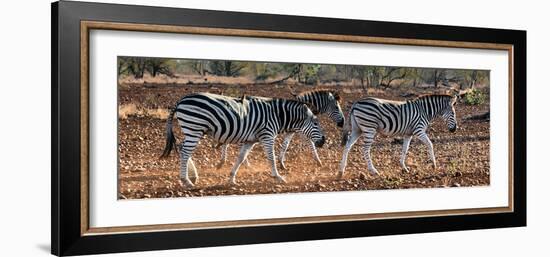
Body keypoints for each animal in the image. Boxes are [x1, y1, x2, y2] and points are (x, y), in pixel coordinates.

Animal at [160, 92, 326, 186]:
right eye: (316, 123)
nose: (324, 141)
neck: (277, 115)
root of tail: (181, 100)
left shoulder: (250, 140)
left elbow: (240, 157)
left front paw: (231, 179)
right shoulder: (267, 135)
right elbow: (271, 157)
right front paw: (278, 176)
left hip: (193, 130)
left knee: (182, 148)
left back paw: (192, 176)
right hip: (194, 128)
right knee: (185, 151)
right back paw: (186, 181)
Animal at [216, 89, 344, 169]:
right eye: (336, 107)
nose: (342, 123)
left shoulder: (294, 130)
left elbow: (286, 145)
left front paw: (281, 163)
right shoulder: (299, 130)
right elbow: (309, 143)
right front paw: (318, 161)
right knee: (229, 142)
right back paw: (225, 162)